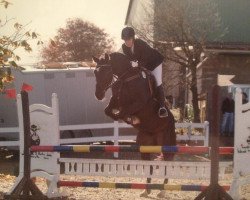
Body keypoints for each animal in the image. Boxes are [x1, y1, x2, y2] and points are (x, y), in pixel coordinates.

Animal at [93, 52, 177, 198]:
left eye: (106, 72)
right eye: (95, 72)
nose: (98, 95)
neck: (126, 78)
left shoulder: (138, 104)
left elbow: (123, 112)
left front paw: (130, 118)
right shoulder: (116, 102)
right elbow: (109, 111)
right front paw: (129, 119)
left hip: (167, 144)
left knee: (168, 164)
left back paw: (162, 191)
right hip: (145, 146)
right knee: (149, 166)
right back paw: (146, 190)